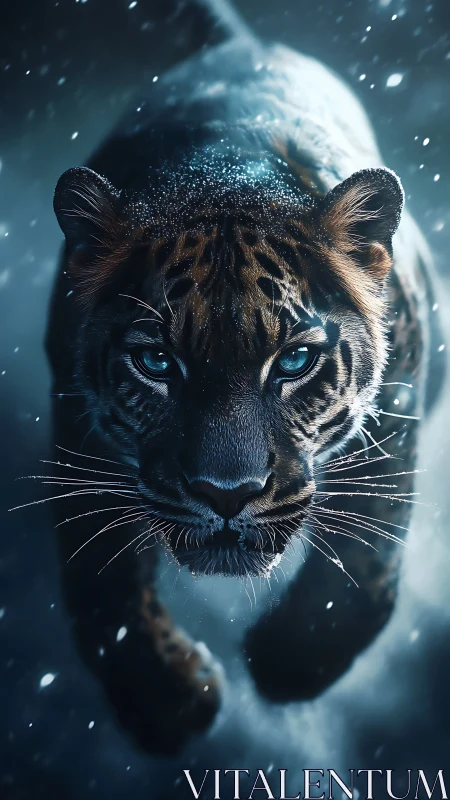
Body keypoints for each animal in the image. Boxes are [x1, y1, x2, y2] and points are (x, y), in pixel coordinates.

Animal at [45, 0, 444, 755]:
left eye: (293, 360)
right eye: (156, 362)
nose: (225, 495)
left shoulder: (398, 406)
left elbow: (372, 551)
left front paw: (296, 659)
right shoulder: (77, 426)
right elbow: (99, 577)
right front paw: (167, 695)